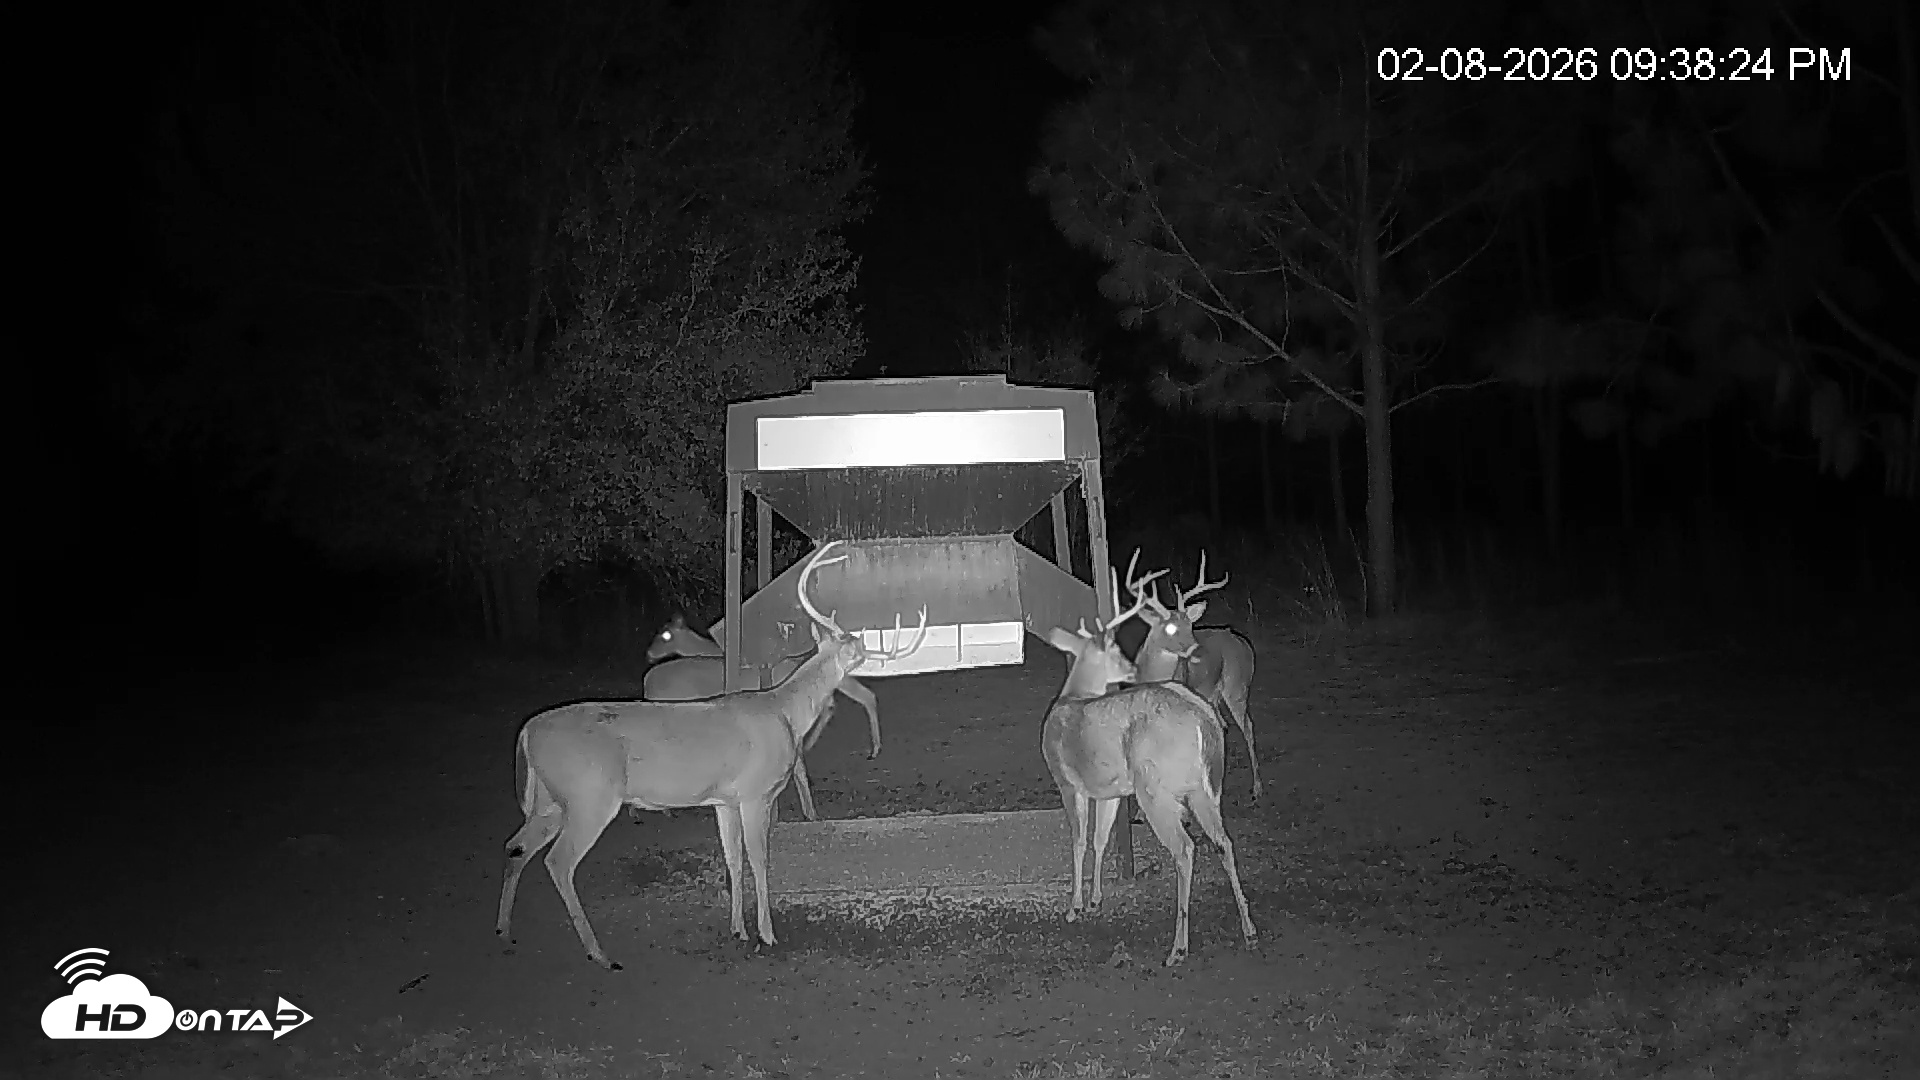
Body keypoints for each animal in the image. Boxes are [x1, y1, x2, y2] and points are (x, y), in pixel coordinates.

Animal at [1039, 567, 1258, 967]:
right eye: (1113, 649)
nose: (1129, 667)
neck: (1072, 697)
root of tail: (1203, 719)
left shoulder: (1067, 782)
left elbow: (1078, 839)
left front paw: (1074, 907)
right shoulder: (1109, 790)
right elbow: (1100, 837)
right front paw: (1095, 900)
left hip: (1157, 789)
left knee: (1185, 849)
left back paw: (1178, 948)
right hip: (1203, 789)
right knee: (1224, 842)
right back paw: (1249, 930)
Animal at [1123, 548, 1262, 802]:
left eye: (1190, 625)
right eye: (1169, 628)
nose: (1196, 650)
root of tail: (1242, 642)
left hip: (1237, 685)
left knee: (1247, 725)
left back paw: (1257, 787)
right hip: (1212, 694)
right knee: (1222, 725)